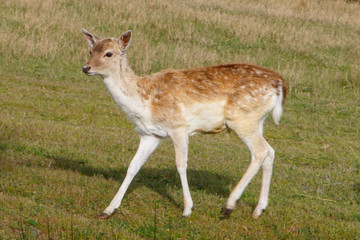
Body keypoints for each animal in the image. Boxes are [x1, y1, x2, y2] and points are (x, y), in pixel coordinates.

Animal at [81, 28, 286, 219]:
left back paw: (229, 206)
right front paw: (108, 210)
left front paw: (187, 209)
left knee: (260, 152)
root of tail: (279, 84)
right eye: (91, 50)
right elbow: (133, 166)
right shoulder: (150, 134)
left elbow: (181, 165)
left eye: (109, 53)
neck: (145, 103)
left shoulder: (178, 127)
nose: (86, 67)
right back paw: (259, 209)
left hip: (242, 119)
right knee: (270, 152)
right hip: (257, 121)